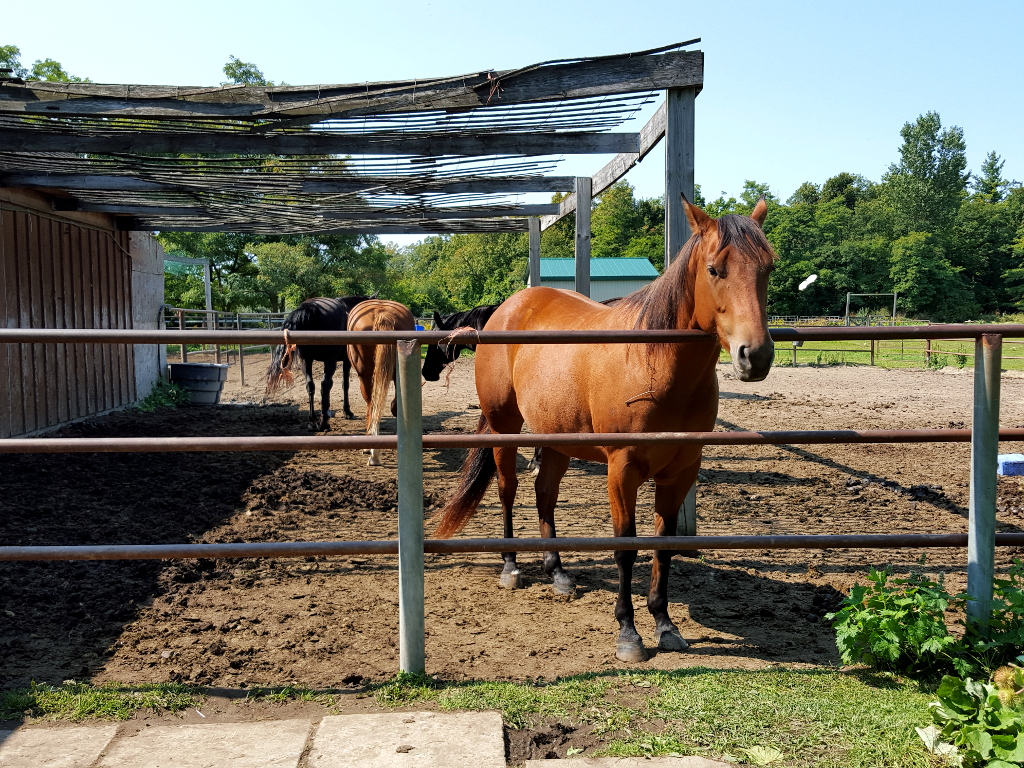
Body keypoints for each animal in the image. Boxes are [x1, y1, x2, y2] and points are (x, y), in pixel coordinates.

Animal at [264, 296, 372, 434]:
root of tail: (310, 308)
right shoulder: (345, 361)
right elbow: (344, 384)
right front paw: (347, 412)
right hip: (329, 360)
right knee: (324, 385)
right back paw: (324, 423)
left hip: (307, 361)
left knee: (311, 385)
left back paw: (313, 422)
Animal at [432, 198, 774, 663]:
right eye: (714, 269)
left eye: (768, 268)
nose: (755, 356)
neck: (654, 363)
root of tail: (508, 306)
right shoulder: (621, 471)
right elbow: (625, 548)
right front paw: (628, 633)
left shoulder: (680, 472)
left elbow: (663, 546)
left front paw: (665, 624)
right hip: (506, 428)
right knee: (507, 490)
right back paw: (511, 567)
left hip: (556, 438)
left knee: (544, 493)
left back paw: (557, 573)